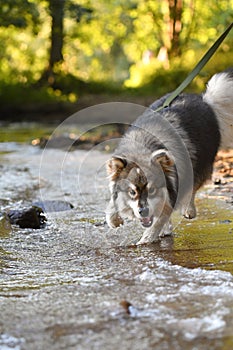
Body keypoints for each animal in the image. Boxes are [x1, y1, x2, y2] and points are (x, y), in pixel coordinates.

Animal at [105, 68, 233, 243]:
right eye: (132, 192)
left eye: (152, 190)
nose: (143, 211)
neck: (144, 145)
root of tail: (205, 100)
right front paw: (114, 218)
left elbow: (161, 216)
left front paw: (148, 237)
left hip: (200, 164)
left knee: (193, 188)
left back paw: (188, 210)